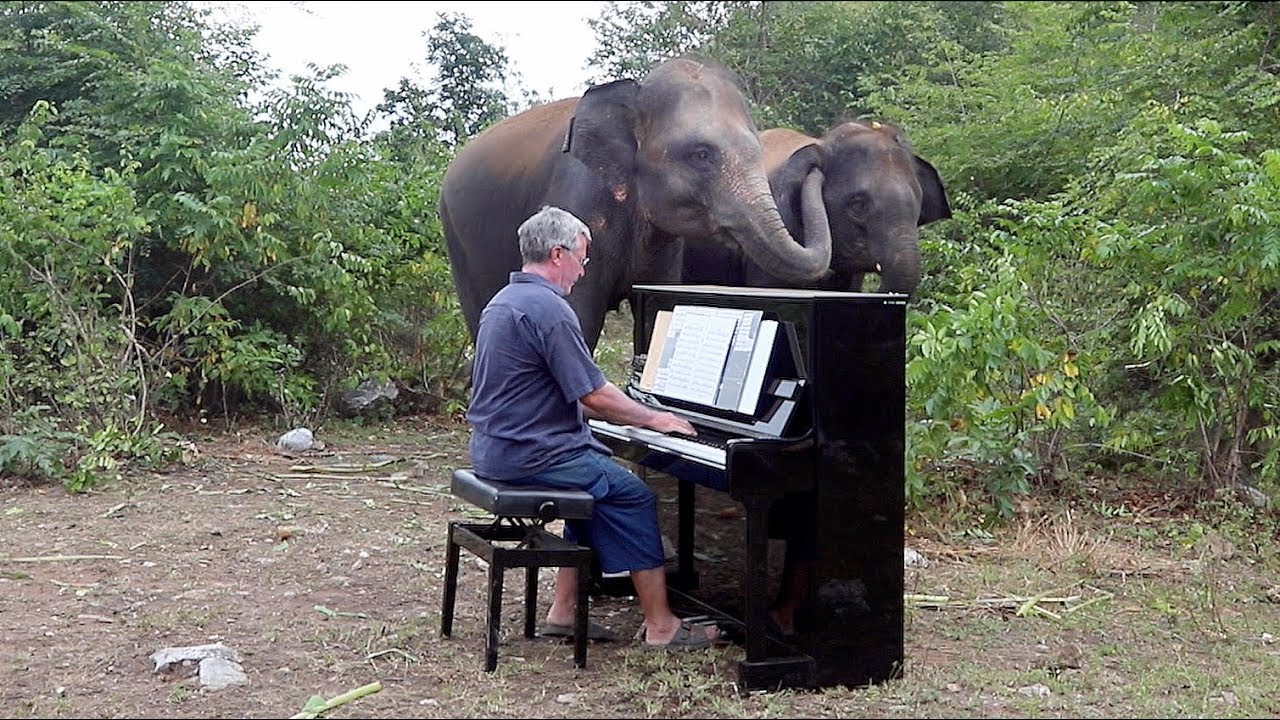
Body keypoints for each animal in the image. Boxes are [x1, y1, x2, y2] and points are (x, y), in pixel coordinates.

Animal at [439, 56, 833, 350]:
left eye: (757, 150)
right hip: (458, 239)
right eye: (702, 155)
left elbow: (660, 308)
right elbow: (578, 315)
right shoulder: (578, 199)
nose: (815, 160)